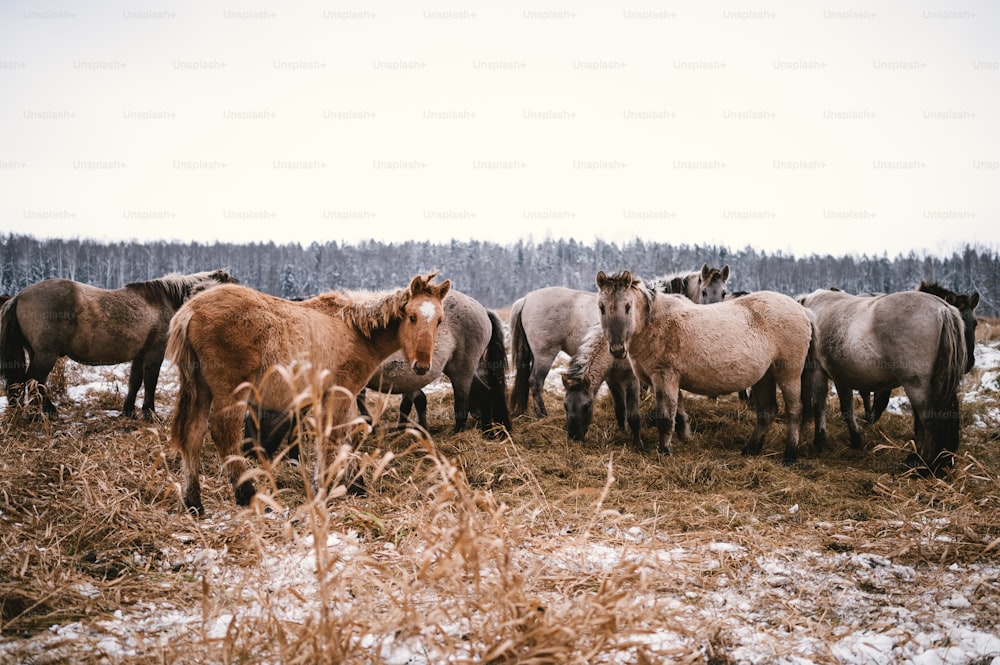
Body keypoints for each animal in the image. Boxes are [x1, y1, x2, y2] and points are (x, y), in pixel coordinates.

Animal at [0, 268, 236, 418]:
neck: (165, 302)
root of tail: (19, 296)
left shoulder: (140, 355)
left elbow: (135, 381)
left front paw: (129, 411)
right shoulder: (154, 354)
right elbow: (150, 382)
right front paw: (150, 412)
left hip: (36, 353)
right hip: (45, 355)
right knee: (34, 381)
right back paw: (45, 413)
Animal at [170, 272, 452, 512]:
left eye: (439, 320)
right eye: (412, 316)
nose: (422, 366)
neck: (356, 331)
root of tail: (191, 311)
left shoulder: (341, 395)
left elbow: (347, 435)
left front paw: (354, 484)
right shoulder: (341, 392)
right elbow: (333, 438)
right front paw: (325, 488)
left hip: (201, 388)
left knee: (193, 433)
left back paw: (193, 502)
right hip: (231, 391)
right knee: (224, 434)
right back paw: (248, 495)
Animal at [592, 270, 812, 462]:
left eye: (628, 306)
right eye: (601, 307)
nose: (617, 349)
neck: (653, 322)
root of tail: (802, 311)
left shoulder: (665, 377)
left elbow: (665, 417)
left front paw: (664, 451)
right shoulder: (669, 381)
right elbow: (679, 413)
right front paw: (683, 439)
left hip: (788, 374)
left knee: (794, 411)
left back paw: (789, 455)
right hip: (765, 376)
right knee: (767, 411)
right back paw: (750, 449)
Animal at [796, 286, 968, 472]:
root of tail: (943, 309)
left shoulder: (818, 371)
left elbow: (820, 405)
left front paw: (819, 441)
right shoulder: (841, 377)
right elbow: (847, 409)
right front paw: (856, 439)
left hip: (916, 386)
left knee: (928, 422)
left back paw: (921, 465)